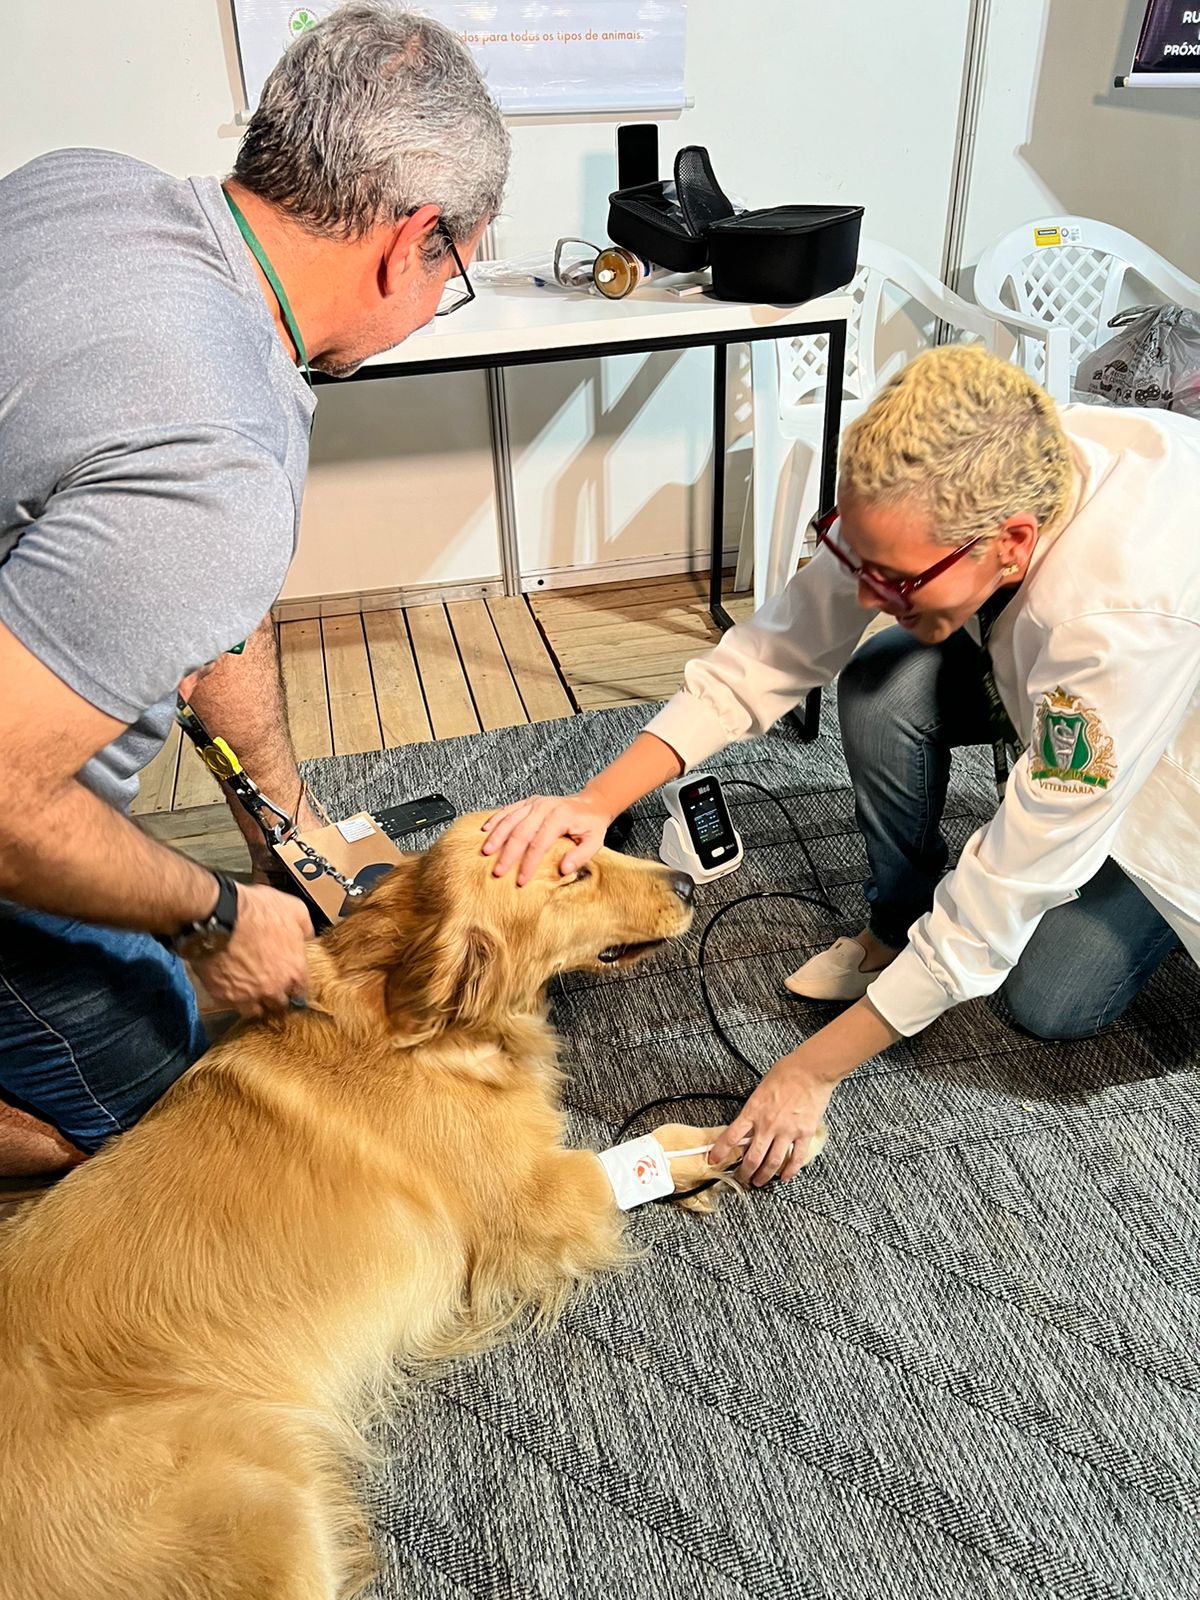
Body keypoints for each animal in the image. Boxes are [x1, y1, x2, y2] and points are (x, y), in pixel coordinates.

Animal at [0, 816, 743, 1600]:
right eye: (573, 875)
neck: (433, 1027)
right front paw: (725, 1144)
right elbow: (643, 1150)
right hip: (263, 1513)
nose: (687, 882)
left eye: (592, 842)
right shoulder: (529, 1202)